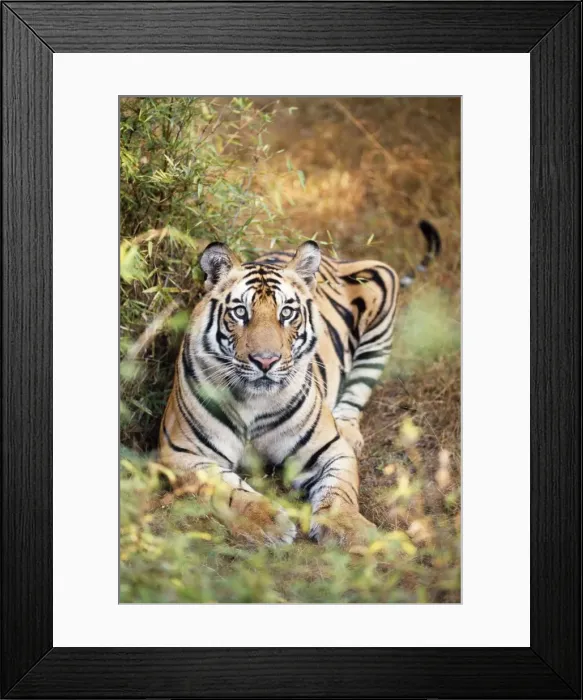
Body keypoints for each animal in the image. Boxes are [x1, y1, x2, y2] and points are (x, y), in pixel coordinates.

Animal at [159, 221, 441, 548]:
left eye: (286, 313)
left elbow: (340, 492)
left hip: (382, 298)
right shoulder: (182, 453)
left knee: (360, 387)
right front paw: (268, 523)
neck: (253, 403)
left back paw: (349, 430)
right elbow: (231, 491)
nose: (265, 361)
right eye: (241, 312)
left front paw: (352, 531)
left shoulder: (331, 450)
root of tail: (336, 258)